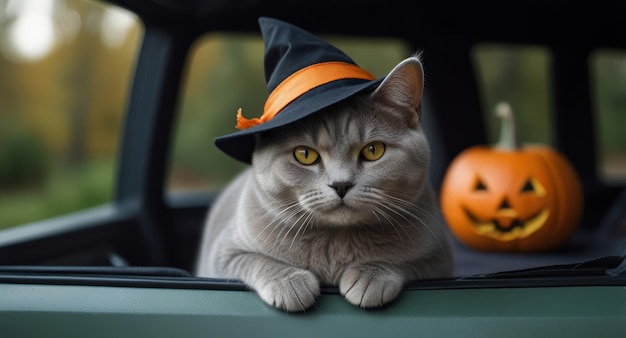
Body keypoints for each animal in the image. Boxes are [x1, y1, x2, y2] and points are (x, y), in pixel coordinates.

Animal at [195, 54, 454, 312]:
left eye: (373, 150)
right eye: (305, 155)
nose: (341, 184)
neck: (337, 241)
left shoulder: (438, 258)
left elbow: (411, 263)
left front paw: (370, 276)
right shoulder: (223, 252)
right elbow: (255, 260)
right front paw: (290, 283)